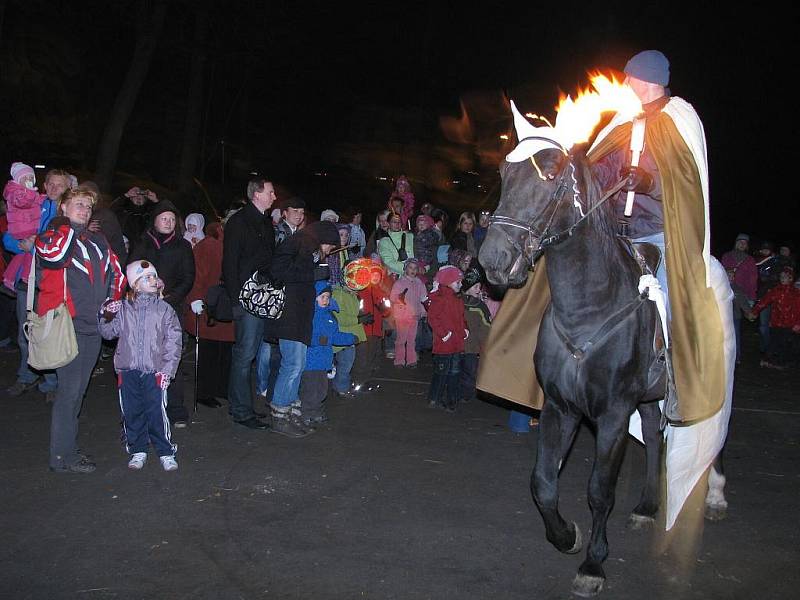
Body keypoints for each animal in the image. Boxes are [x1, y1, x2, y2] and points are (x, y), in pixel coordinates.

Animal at [478, 142, 664, 596]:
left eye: (550, 178)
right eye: (504, 174)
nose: (492, 259)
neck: (588, 309)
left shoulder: (613, 415)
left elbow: (600, 491)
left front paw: (593, 564)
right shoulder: (560, 407)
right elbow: (543, 483)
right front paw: (566, 536)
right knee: (653, 432)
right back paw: (647, 506)